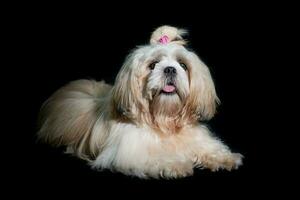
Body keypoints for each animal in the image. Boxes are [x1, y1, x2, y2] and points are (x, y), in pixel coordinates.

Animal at [38, 25, 244, 180]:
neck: (164, 121)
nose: (170, 69)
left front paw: (226, 158)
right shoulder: (131, 152)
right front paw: (176, 164)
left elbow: (209, 148)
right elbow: (155, 157)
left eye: (183, 65)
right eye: (152, 65)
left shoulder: (196, 138)